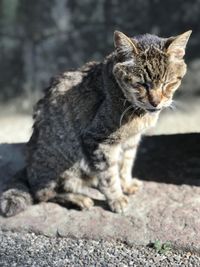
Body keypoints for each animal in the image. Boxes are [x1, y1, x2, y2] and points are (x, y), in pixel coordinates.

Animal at [0, 29, 191, 218]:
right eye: (141, 84)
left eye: (169, 83)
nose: (155, 102)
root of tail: (28, 166)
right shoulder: (99, 140)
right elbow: (109, 175)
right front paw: (116, 199)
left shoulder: (130, 141)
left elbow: (125, 165)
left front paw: (127, 185)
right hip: (60, 160)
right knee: (43, 192)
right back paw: (79, 199)